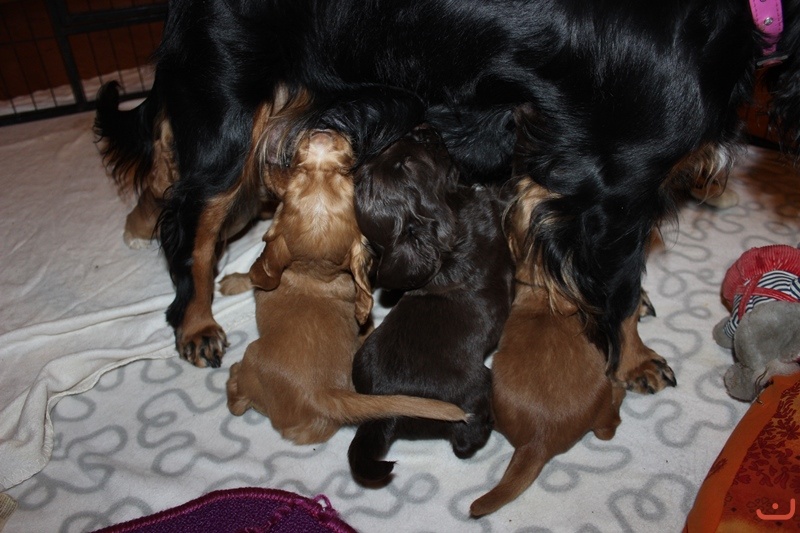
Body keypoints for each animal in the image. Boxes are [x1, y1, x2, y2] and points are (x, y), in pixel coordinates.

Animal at [94, 1, 800, 378]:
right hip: (230, 120)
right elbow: (620, 286)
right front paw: (634, 363)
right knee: (192, 225)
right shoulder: (615, 189)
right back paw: (194, 322)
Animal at [221, 129, 467, 444]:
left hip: (252, 355)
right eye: (303, 174)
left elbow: (260, 269)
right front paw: (233, 281)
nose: (322, 138)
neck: (314, 273)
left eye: (344, 177)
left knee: (238, 400)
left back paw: (233, 376)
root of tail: (326, 395)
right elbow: (259, 270)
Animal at [346, 126, 515, 482]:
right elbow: (506, 191)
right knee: (464, 438)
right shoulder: (486, 208)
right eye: (408, 161)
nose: (423, 128)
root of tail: (384, 414)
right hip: (476, 386)